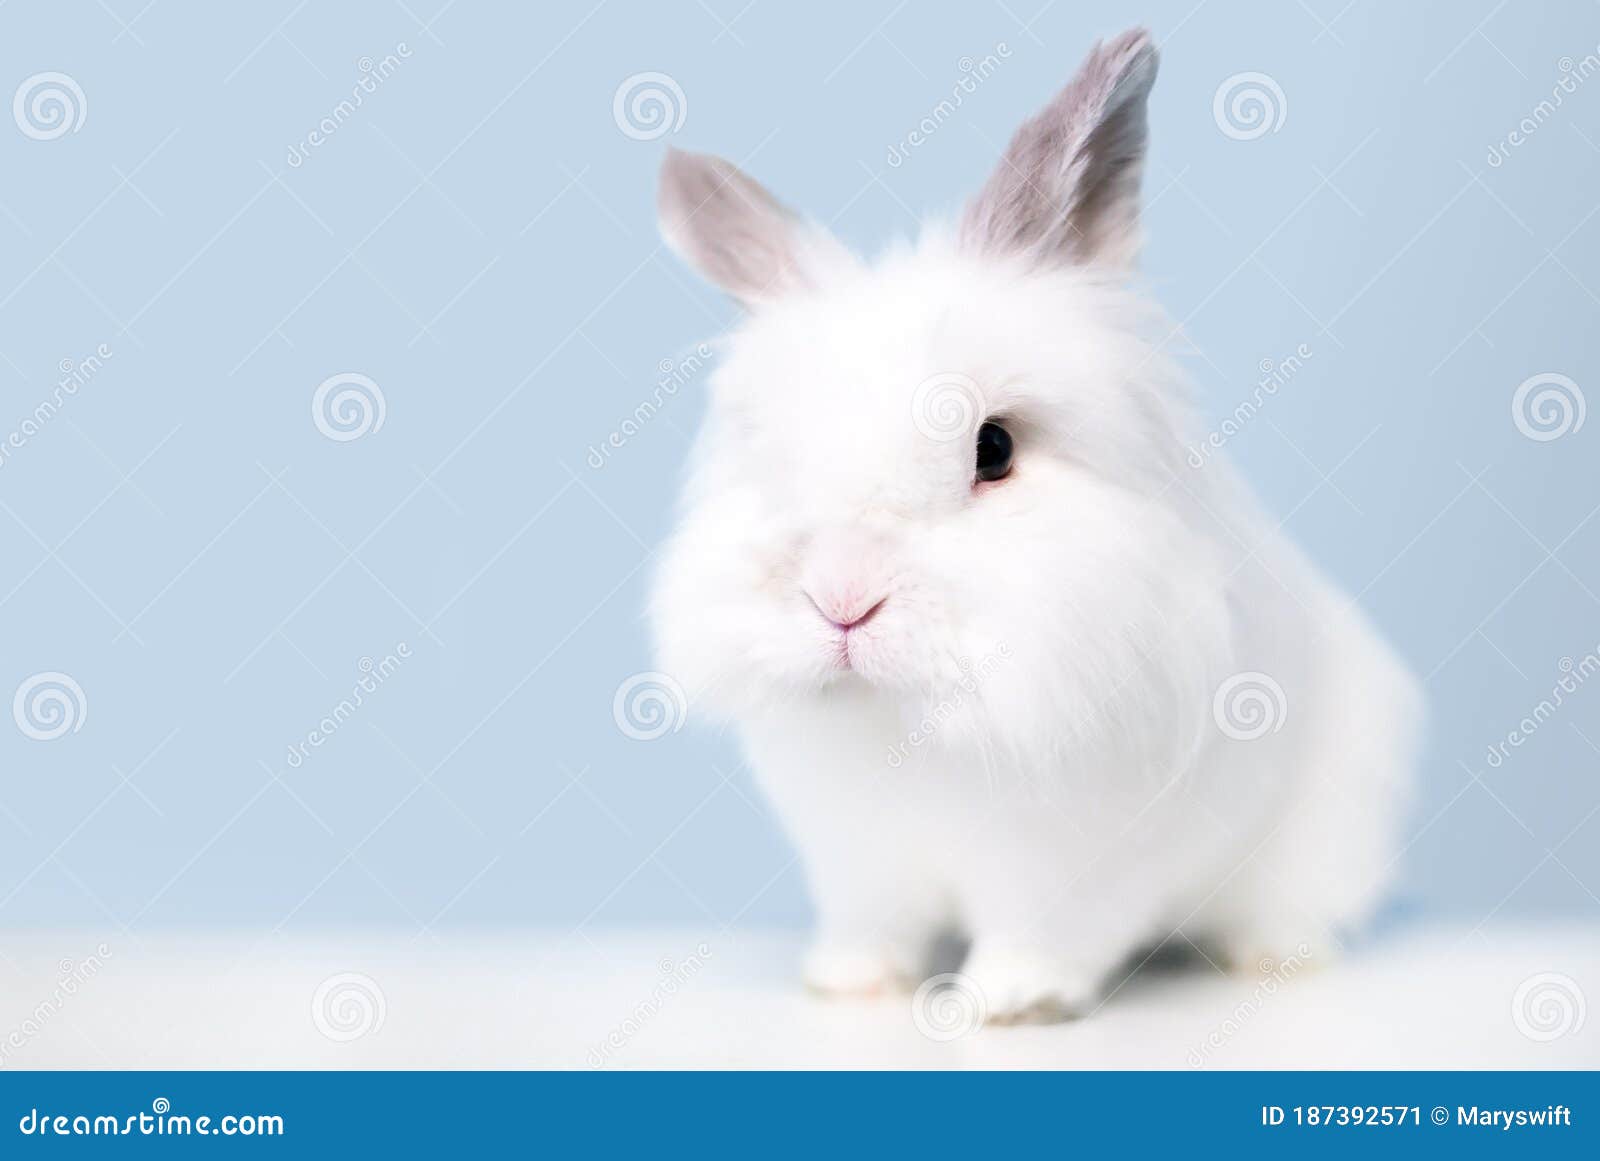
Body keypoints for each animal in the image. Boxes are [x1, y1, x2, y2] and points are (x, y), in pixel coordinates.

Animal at [649, 27, 1422, 1023]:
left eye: (995, 447)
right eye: (773, 455)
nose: (842, 600)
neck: (916, 723)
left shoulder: (1074, 865)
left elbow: (1042, 934)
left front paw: (1010, 1003)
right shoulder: (861, 864)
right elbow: (875, 924)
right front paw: (850, 982)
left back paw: (1271, 960)